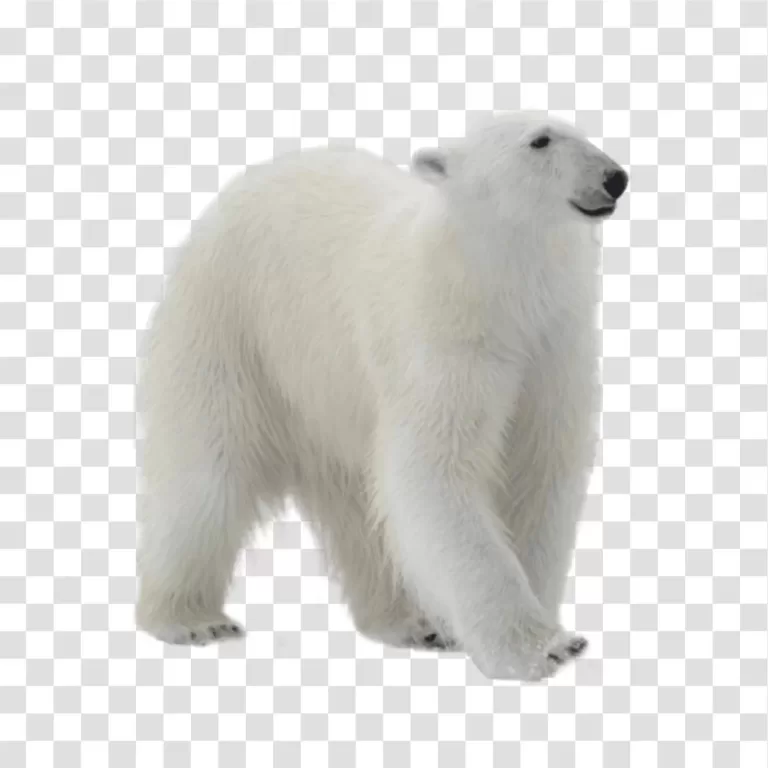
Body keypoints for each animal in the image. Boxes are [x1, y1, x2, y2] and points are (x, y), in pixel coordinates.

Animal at [135, 111, 628, 681]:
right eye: (540, 141)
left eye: (580, 131)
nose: (616, 178)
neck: (500, 288)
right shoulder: (445, 342)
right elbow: (435, 472)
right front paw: (540, 648)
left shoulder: (552, 347)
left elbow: (539, 468)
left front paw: (546, 629)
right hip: (231, 328)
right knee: (205, 474)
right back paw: (191, 619)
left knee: (358, 506)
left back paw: (414, 622)